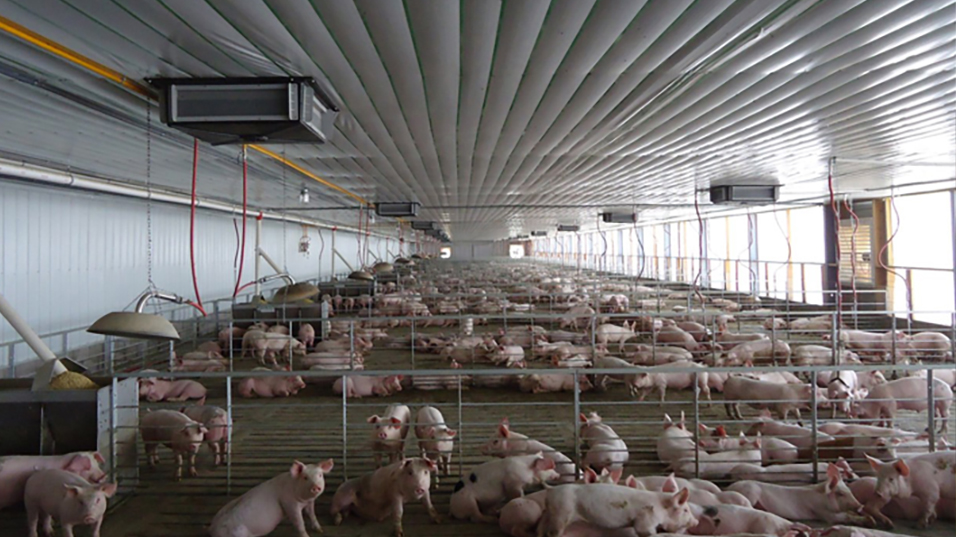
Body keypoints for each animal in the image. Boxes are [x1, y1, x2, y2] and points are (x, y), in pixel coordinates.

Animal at [536, 484, 697, 537]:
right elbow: (646, 532)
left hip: (549, 512)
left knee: (540, 529)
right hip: (561, 514)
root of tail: (551, 489)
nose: (695, 522)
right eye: (685, 510)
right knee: (552, 533)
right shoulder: (645, 519)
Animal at [727, 464, 868, 524]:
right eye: (840, 494)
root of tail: (730, 487)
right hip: (751, 492)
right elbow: (840, 518)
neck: (823, 498)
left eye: (849, 491)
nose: (860, 506)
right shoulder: (821, 511)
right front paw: (869, 521)